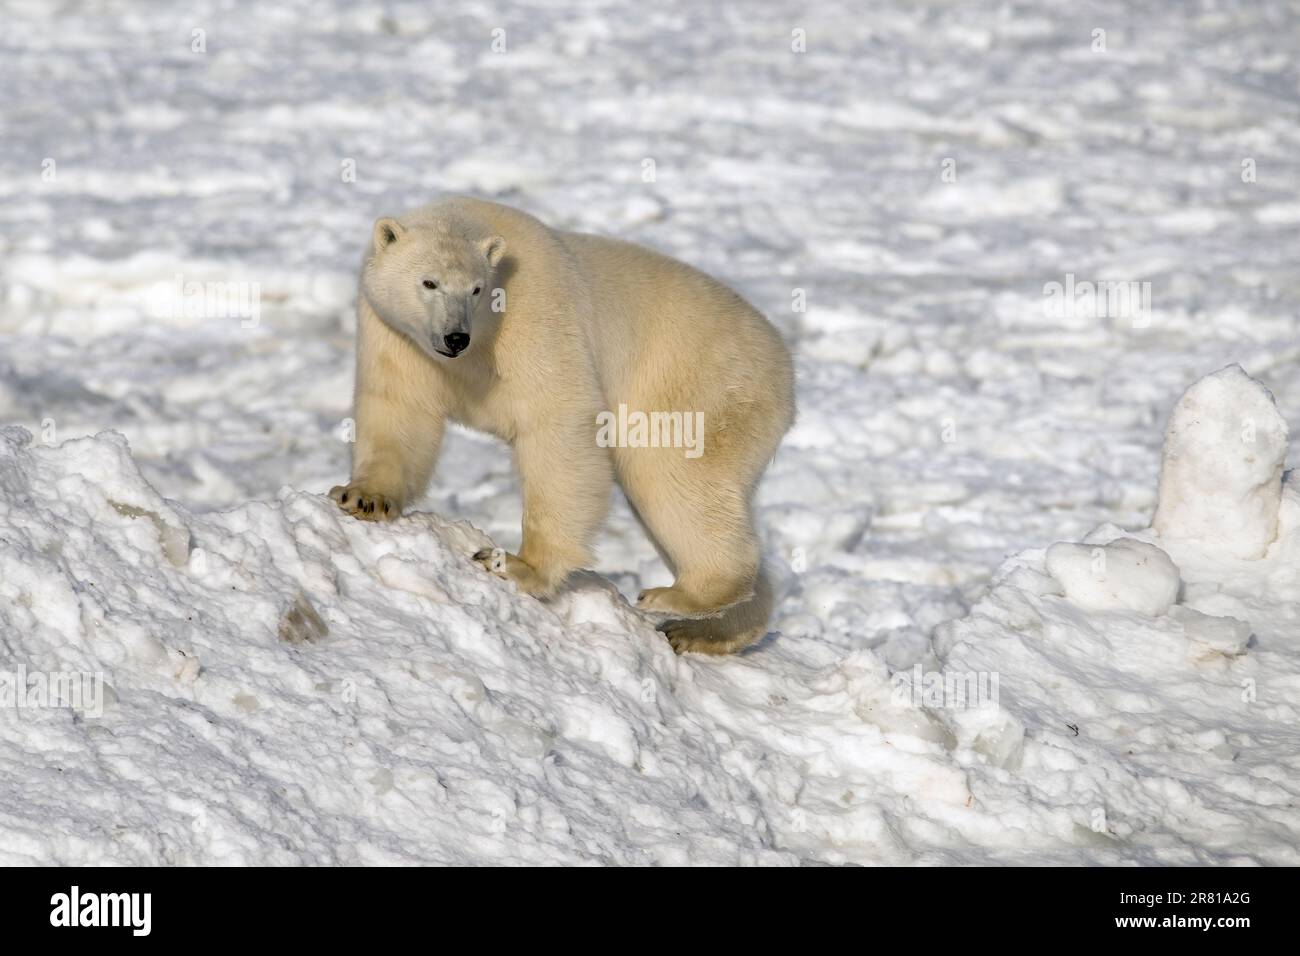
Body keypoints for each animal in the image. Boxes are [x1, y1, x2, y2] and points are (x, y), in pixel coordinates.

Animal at [330, 197, 795, 655]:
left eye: (476, 289)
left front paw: (513, 564)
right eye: (429, 283)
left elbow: (557, 423)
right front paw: (363, 498)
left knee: (670, 476)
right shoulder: (394, 332)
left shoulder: (534, 314)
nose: (455, 337)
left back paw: (678, 596)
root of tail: (785, 372)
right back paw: (706, 630)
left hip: (695, 385)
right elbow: (398, 407)